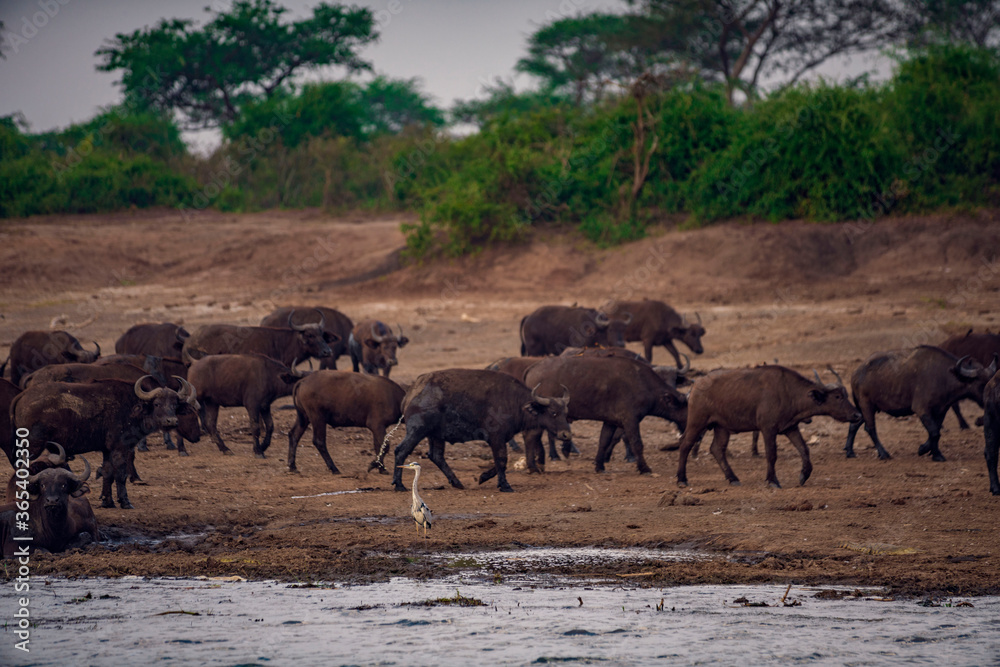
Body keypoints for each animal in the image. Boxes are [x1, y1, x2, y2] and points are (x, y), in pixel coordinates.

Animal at [392, 369, 572, 493]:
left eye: (565, 412)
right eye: (553, 413)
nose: (566, 434)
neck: (513, 401)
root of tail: (412, 392)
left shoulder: (500, 439)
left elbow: (498, 463)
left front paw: (483, 477)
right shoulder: (496, 438)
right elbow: (502, 460)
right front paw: (505, 485)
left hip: (435, 435)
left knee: (436, 456)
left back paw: (457, 482)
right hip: (417, 431)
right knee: (401, 451)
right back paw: (399, 484)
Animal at [677, 366, 860, 488]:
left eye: (845, 395)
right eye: (837, 397)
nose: (857, 415)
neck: (788, 392)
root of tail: (696, 384)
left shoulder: (790, 427)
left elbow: (804, 449)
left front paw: (804, 475)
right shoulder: (768, 429)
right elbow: (772, 454)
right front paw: (773, 481)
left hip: (721, 427)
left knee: (717, 449)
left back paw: (733, 478)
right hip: (697, 422)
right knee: (685, 444)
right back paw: (681, 479)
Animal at [844, 346, 997, 461]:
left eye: (991, 380)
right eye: (982, 384)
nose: (992, 400)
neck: (945, 376)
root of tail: (855, 373)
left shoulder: (941, 410)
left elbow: (936, 431)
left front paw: (930, 451)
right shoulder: (922, 409)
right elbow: (934, 432)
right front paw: (930, 452)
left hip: (865, 408)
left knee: (854, 425)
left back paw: (850, 451)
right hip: (867, 406)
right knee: (870, 428)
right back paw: (883, 453)